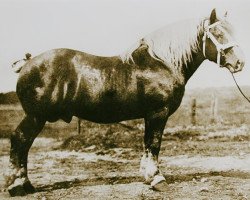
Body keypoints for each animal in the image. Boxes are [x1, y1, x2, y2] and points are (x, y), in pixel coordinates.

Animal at [4, 9, 245, 195]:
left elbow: (148, 144)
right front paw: (156, 179)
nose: (239, 62)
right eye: (217, 33)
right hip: (36, 116)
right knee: (20, 141)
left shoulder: (151, 115)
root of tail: (27, 63)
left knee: (23, 144)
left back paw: (25, 185)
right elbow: (154, 143)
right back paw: (18, 186)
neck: (163, 63)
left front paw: (148, 176)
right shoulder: (158, 113)